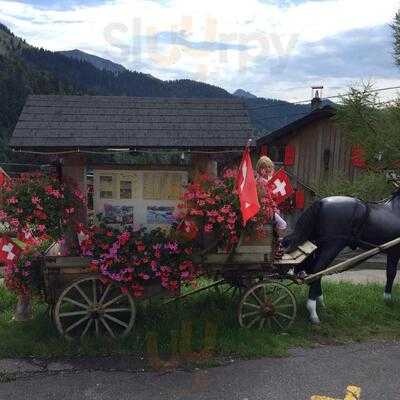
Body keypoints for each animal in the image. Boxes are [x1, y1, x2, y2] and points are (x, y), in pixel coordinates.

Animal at [282, 192, 400, 324]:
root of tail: (321, 202)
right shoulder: (395, 252)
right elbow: (392, 274)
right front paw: (388, 300)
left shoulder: (392, 252)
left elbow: (390, 273)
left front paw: (387, 300)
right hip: (333, 245)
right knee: (317, 271)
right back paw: (313, 312)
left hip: (319, 245)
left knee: (317, 272)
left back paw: (320, 302)